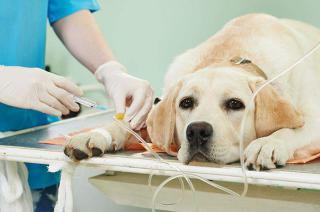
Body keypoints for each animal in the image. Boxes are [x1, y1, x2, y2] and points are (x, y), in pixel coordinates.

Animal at [63, 13, 320, 171]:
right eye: (186, 103)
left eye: (235, 104)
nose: (197, 131)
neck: (233, 55)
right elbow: (126, 123)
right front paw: (95, 134)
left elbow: (291, 129)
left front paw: (268, 143)